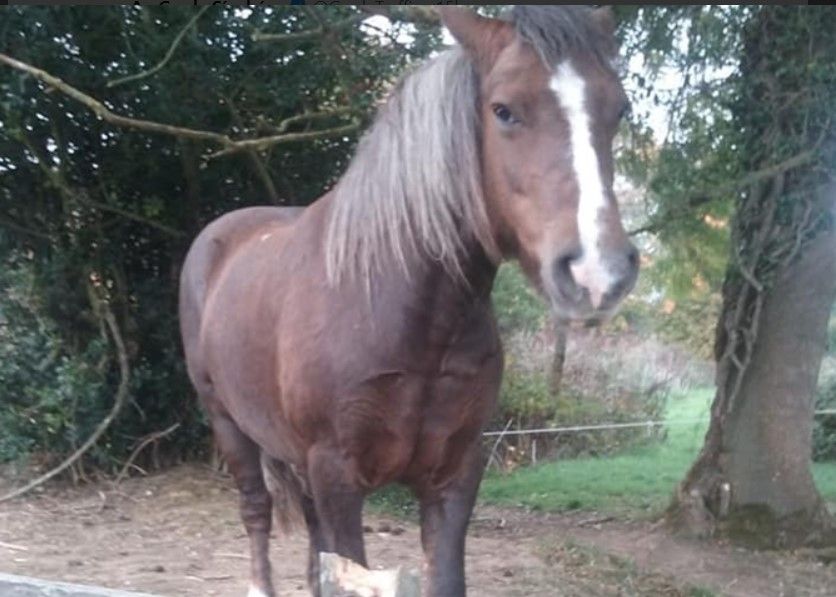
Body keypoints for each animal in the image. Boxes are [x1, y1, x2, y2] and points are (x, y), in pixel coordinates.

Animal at [179, 6, 638, 596]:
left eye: (619, 109)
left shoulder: (454, 476)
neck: (404, 311)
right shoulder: (337, 475)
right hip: (229, 425)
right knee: (256, 514)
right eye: (503, 109)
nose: (598, 272)